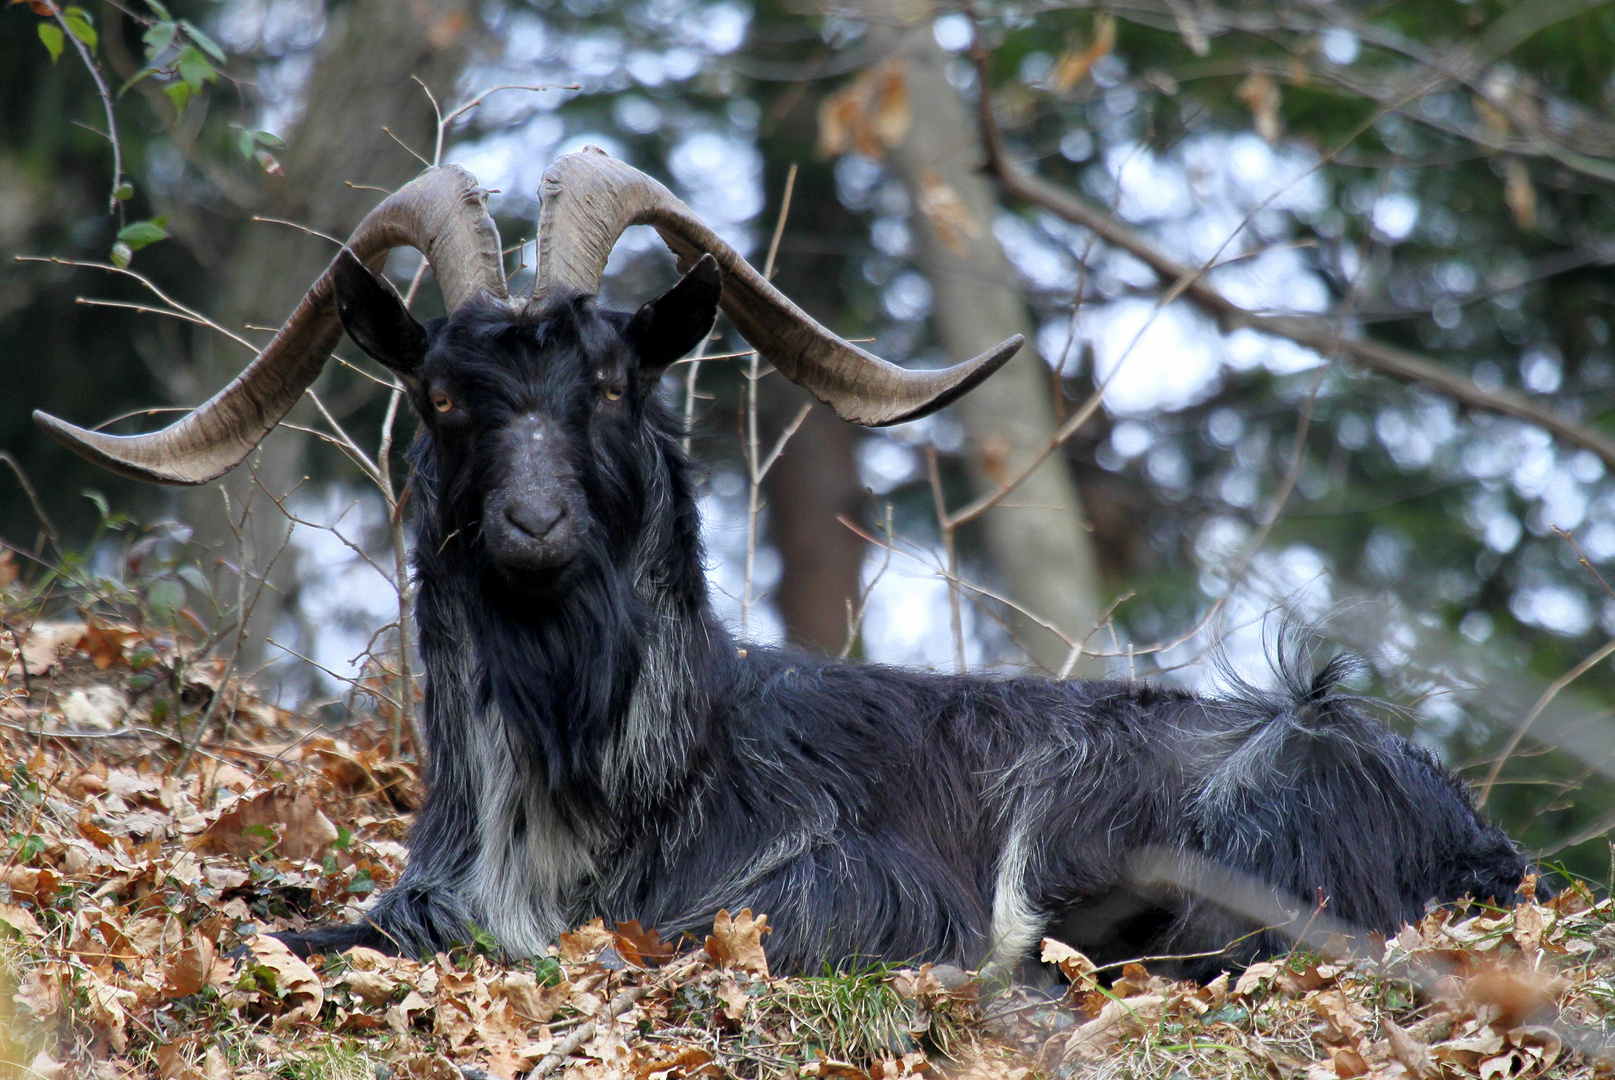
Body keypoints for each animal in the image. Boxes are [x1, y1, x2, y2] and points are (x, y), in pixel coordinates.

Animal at [31, 149, 1531, 975]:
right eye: (447, 398)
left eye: (612, 383)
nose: (532, 528)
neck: (651, 774)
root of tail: (1477, 849)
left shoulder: (851, 884)